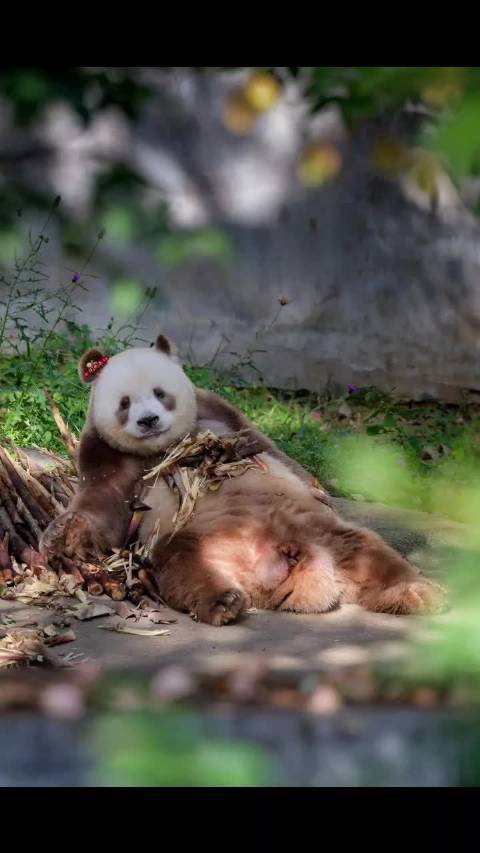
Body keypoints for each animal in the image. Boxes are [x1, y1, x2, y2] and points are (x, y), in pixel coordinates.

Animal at [40, 335, 446, 625]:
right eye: (124, 403)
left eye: (160, 393)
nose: (149, 421)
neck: (168, 445)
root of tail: (282, 561)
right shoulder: (109, 455)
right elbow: (102, 503)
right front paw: (62, 535)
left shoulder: (220, 412)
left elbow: (268, 446)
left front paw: (319, 488)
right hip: (196, 539)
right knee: (183, 566)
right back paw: (225, 603)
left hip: (324, 530)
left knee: (370, 553)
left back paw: (418, 594)